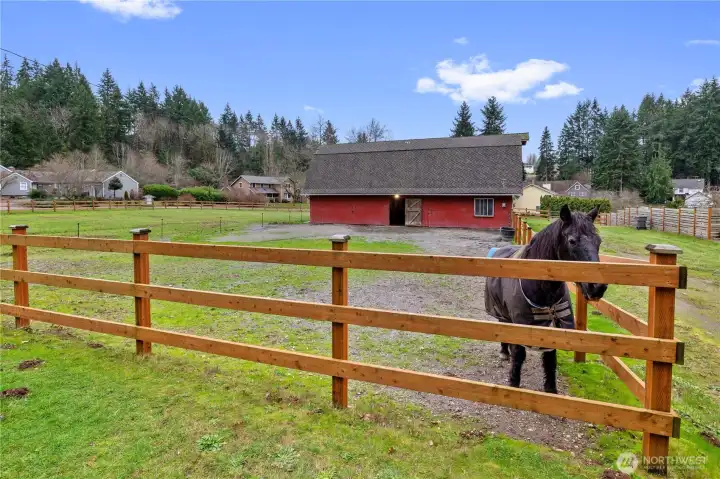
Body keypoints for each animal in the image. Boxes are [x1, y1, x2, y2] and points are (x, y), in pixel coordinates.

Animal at [484, 205, 607, 393]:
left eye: (598, 241)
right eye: (572, 241)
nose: (598, 287)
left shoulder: (554, 325)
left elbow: (550, 360)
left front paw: (551, 389)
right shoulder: (520, 323)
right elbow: (519, 355)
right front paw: (514, 384)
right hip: (501, 311)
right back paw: (504, 352)